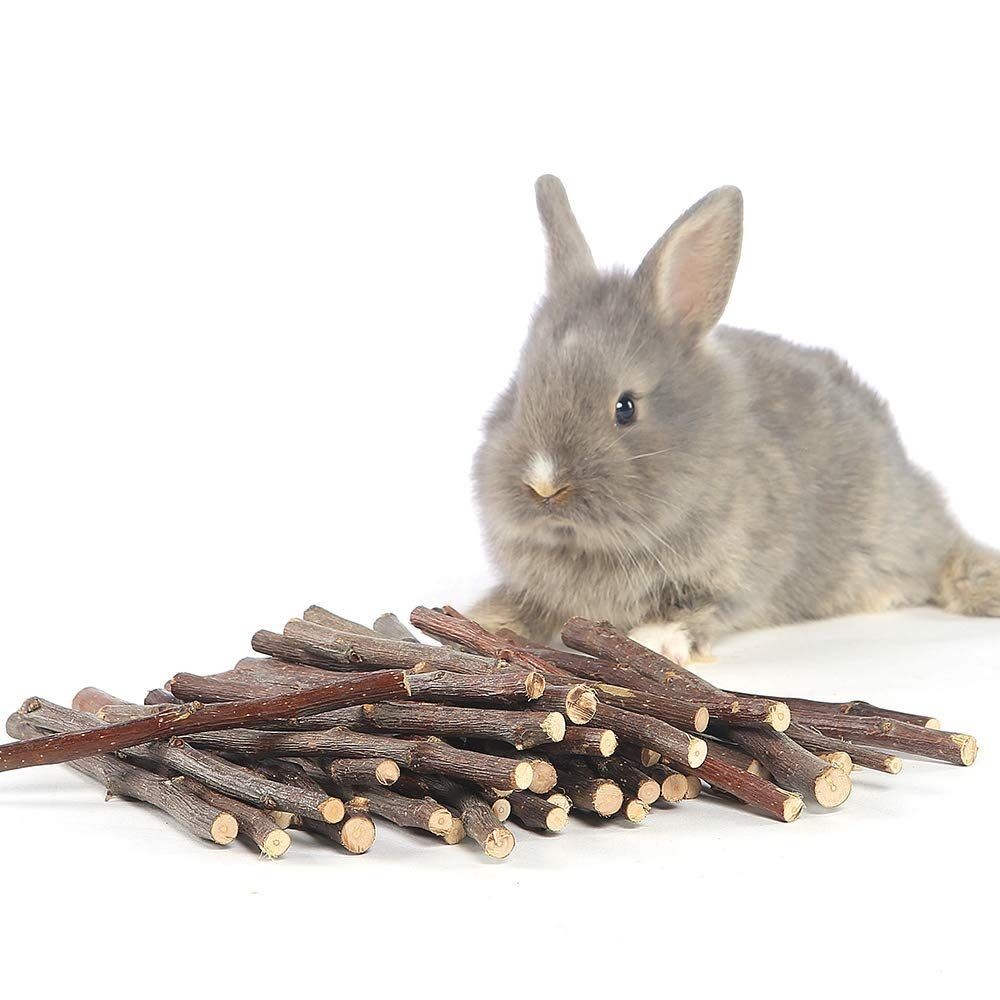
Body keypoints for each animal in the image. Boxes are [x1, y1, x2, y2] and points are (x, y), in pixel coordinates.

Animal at [468, 174, 1000, 665]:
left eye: (626, 407)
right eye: (519, 392)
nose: (544, 486)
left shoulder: (739, 576)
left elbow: (700, 609)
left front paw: (655, 641)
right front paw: (485, 621)